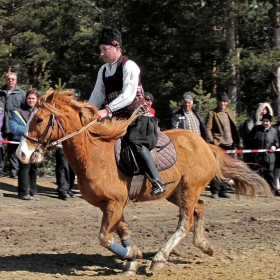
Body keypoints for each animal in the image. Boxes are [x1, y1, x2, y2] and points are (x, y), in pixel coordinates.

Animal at [15, 88, 274, 274]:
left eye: (39, 119)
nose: (22, 154)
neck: (94, 154)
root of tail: (205, 144)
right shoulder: (110, 205)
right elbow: (121, 231)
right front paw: (132, 258)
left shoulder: (114, 203)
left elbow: (104, 237)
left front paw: (133, 256)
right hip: (176, 192)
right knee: (199, 209)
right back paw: (204, 245)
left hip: (189, 188)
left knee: (186, 222)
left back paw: (160, 257)